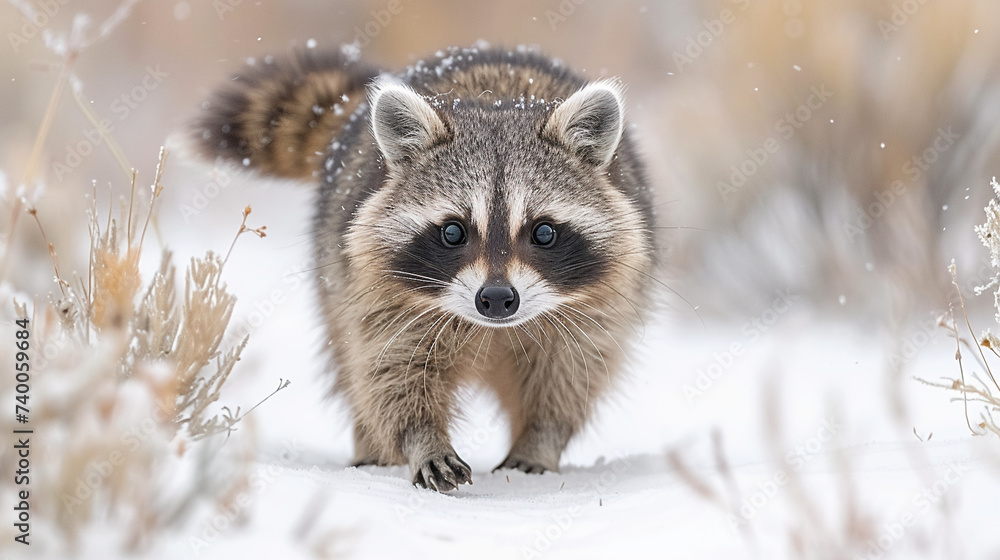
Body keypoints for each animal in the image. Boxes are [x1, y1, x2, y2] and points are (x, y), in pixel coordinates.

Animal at [190, 45, 656, 492]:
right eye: (453, 232)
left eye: (543, 232)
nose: (497, 299)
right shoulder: (381, 294)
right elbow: (391, 371)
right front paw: (422, 439)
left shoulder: (595, 304)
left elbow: (572, 372)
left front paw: (541, 438)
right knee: (352, 366)